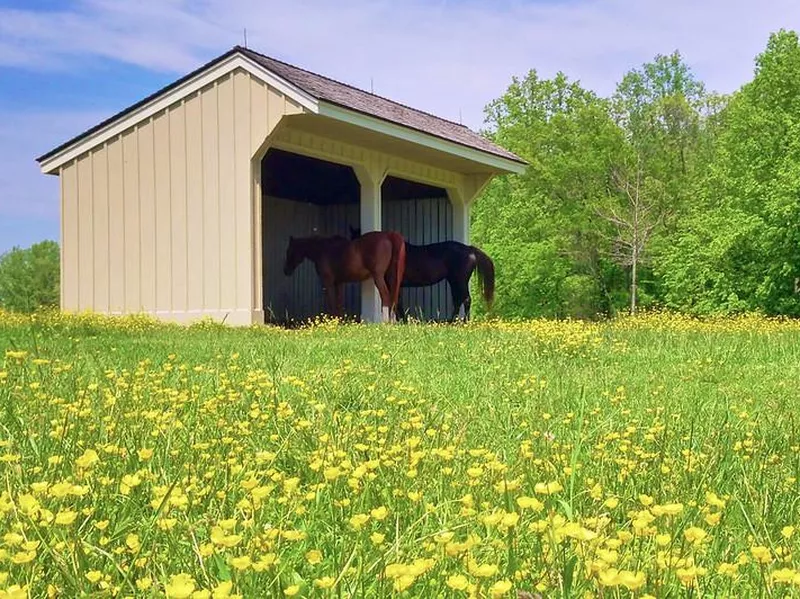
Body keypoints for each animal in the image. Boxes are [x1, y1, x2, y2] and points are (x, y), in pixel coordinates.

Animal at [350, 227, 494, 322]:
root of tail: (470, 249)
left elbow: (396, 302)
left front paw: (401, 321)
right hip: (454, 281)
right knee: (458, 300)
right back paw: (452, 321)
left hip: (459, 281)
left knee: (466, 299)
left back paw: (464, 322)